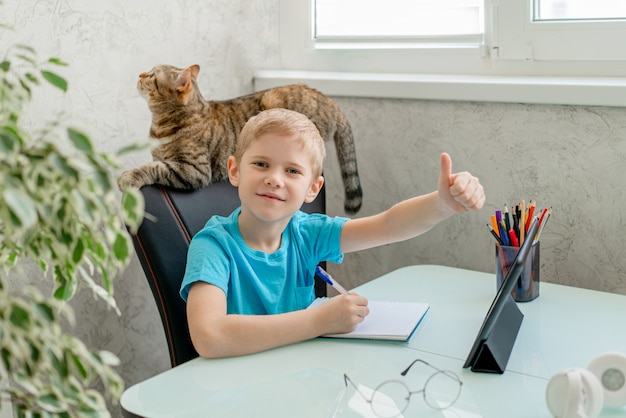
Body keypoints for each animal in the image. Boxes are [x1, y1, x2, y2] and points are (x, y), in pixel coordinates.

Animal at [117, 63, 360, 214]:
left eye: (152, 75)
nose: (140, 74)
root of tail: (329, 100)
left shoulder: (193, 171)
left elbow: (155, 168)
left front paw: (128, 176)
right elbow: (156, 162)